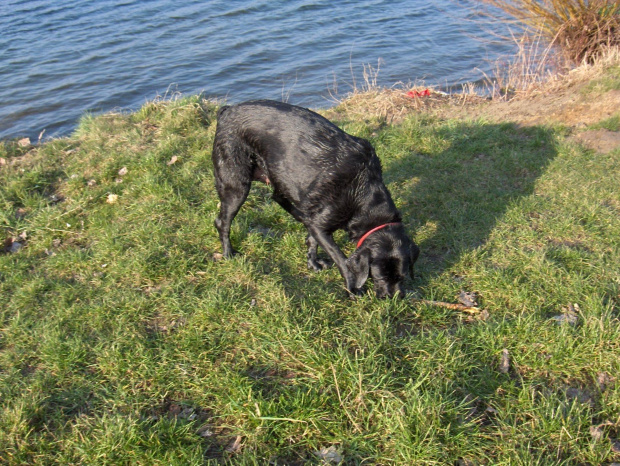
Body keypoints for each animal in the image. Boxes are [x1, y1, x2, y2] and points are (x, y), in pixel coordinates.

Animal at [211, 101, 418, 298]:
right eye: (380, 276)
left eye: (403, 277)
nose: (393, 297)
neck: (364, 194)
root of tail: (227, 111)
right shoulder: (322, 225)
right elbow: (342, 259)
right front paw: (352, 287)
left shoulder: (318, 220)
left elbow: (313, 239)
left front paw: (312, 262)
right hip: (236, 186)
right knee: (222, 222)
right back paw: (228, 253)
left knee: (279, 197)